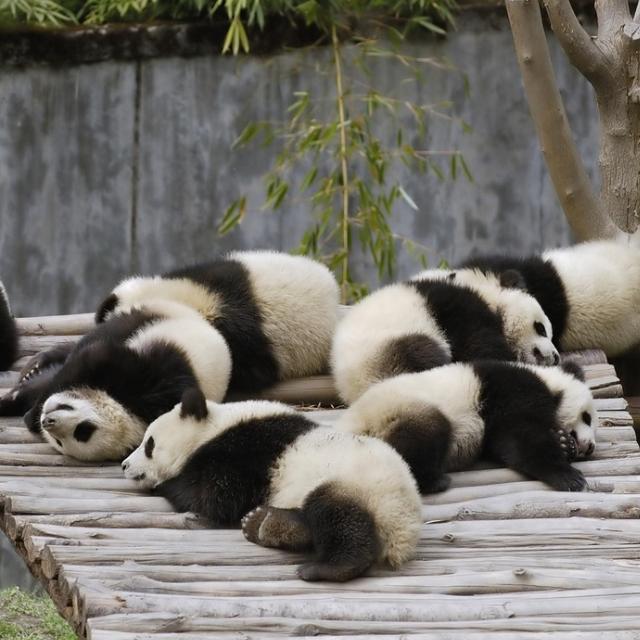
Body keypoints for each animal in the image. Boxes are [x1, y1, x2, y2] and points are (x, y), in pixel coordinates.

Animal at [1, 299, 231, 461]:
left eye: (80, 433)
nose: (47, 422)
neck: (131, 410)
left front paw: (28, 413)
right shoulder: (148, 378)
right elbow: (92, 356)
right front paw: (25, 408)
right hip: (149, 318)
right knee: (95, 338)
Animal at [121, 388, 422, 582]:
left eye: (149, 444)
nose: (124, 465)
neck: (214, 427)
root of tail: (404, 529)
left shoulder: (245, 452)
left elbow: (216, 496)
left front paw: (167, 484)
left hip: (358, 486)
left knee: (338, 515)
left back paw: (325, 568)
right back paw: (265, 524)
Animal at [331, 273, 558, 404]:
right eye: (541, 328)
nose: (556, 357)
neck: (488, 295)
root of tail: (353, 388)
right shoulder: (460, 309)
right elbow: (480, 346)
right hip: (386, 347)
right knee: (423, 354)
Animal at [336, 359, 596, 494]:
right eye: (586, 417)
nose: (591, 446)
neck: (548, 382)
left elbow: (503, 445)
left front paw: (564, 443)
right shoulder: (511, 392)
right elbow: (520, 438)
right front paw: (569, 477)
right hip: (399, 411)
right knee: (424, 436)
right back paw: (434, 481)